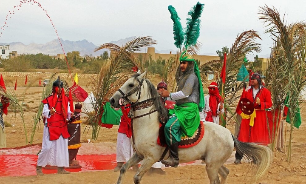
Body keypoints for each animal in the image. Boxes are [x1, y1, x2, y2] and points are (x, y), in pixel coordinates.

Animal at [110, 72, 272, 184]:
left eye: (131, 85)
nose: (112, 100)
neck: (149, 124)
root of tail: (230, 135)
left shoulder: (151, 158)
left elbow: (137, 178)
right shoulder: (139, 155)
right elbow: (123, 169)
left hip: (212, 165)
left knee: (216, 180)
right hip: (213, 162)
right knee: (225, 173)